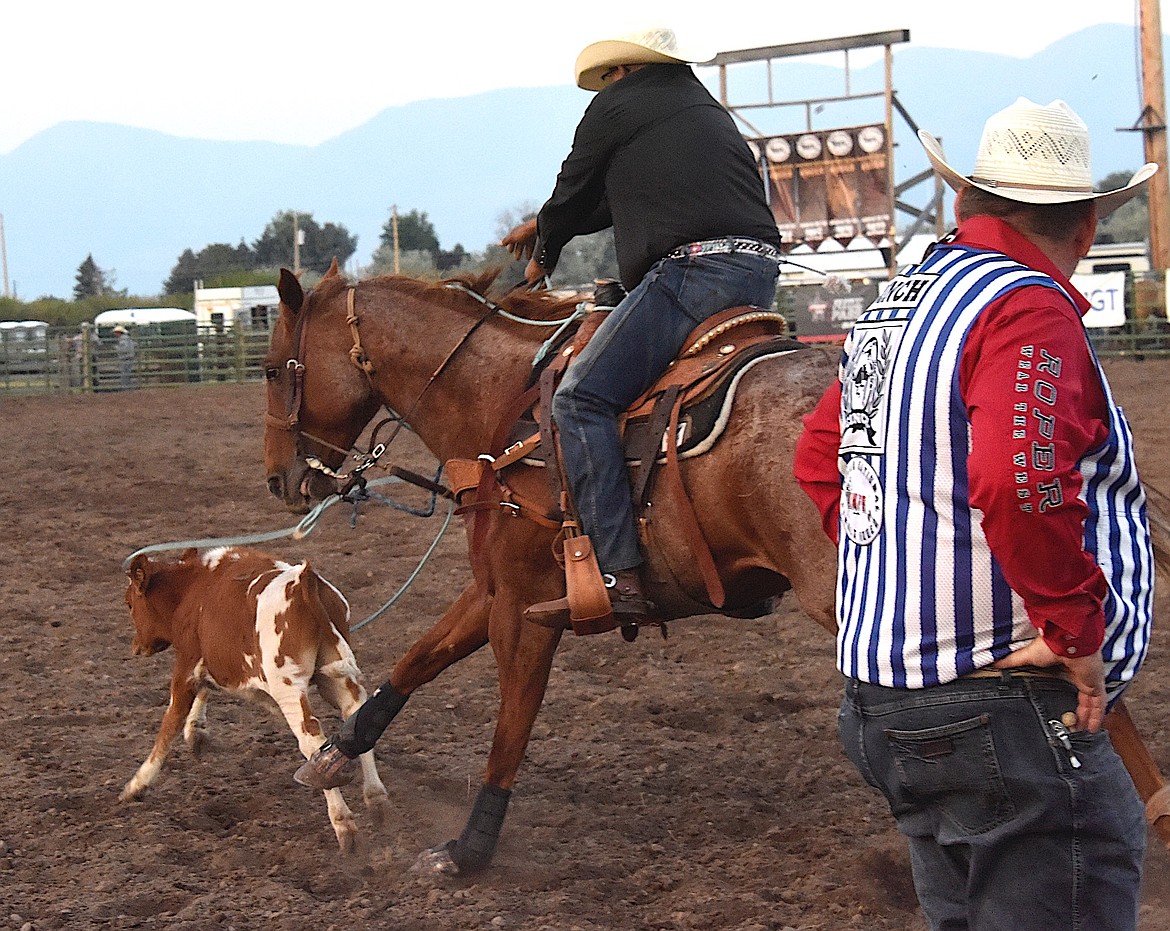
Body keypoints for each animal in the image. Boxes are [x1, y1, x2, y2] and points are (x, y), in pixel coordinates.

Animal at [122, 545, 388, 851]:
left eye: (129, 604)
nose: (135, 647)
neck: (193, 588)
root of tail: (304, 582)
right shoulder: (214, 663)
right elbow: (207, 689)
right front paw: (197, 731)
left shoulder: (186, 666)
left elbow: (169, 725)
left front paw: (136, 785)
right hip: (337, 679)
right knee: (359, 718)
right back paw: (377, 800)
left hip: (289, 687)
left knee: (312, 742)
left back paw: (345, 827)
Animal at [260, 259, 837, 874]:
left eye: (271, 370)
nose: (276, 480)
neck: (500, 399)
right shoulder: (495, 588)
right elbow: (418, 660)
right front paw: (335, 753)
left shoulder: (523, 608)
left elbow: (512, 723)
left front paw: (469, 850)